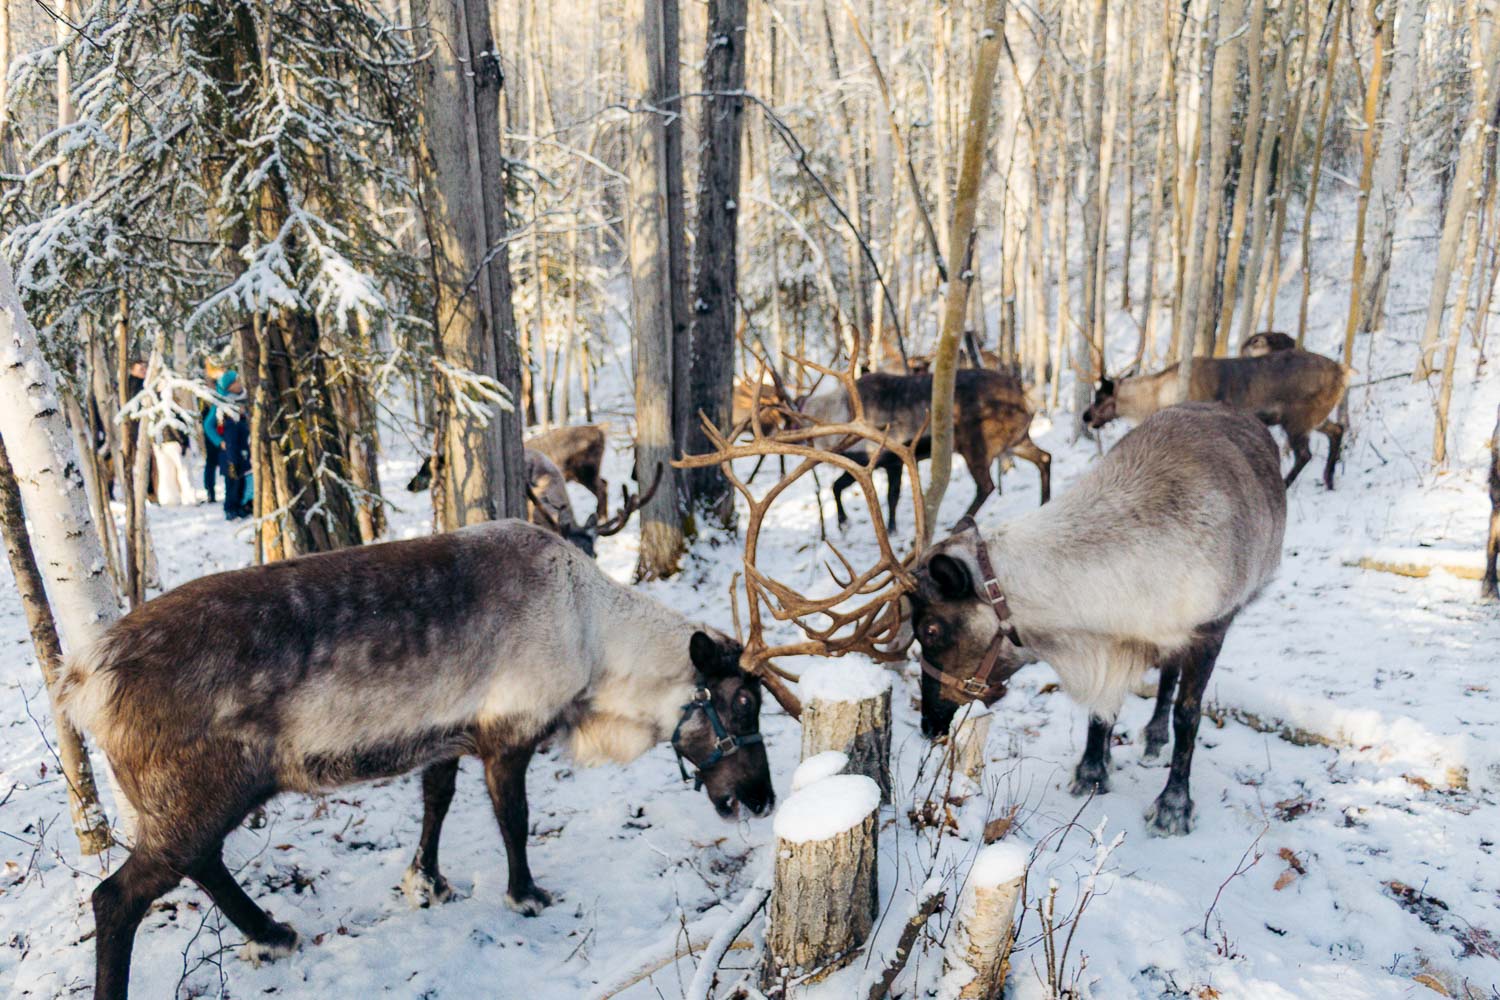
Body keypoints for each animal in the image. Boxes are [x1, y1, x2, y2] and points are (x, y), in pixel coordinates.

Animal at [55, 521, 772, 1000]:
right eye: (741, 702)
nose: (761, 799)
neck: (594, 640)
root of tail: (84, 679)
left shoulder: (447, 738)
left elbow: (437, 803)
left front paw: (427, 881)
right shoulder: (508, 736)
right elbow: (514, 821)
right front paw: (526, 896)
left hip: (204, 797)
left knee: (199, 863)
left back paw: (272, 933)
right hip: (200, 793)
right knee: (118, 895)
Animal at [902, 403, 1287, 836]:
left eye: (930, 629)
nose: (928, 724)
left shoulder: (1209, 630)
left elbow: (1188, 715)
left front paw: (1173, 806)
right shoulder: (1111, 644)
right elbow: (1103, 708)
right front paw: (1091, 771)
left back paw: (1157, 738)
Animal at [1083, 347, 1349, 489]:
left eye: (1100, 397)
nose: (1085, 416)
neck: (1155, 398)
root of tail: (1343, 372)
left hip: (1296, 420)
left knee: (1304, 454)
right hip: (1316, 418)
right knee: (1338, 429)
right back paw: (1329, 480)